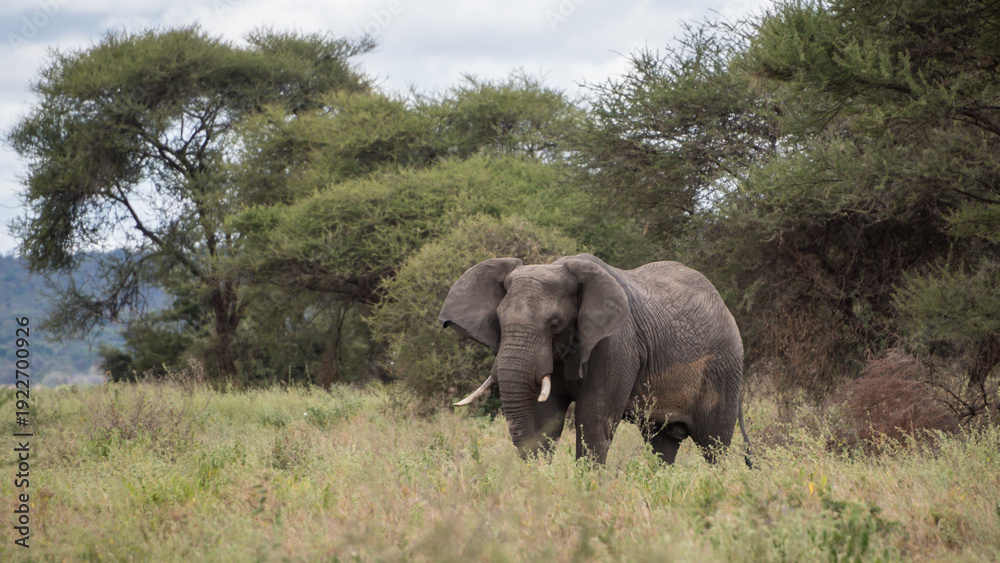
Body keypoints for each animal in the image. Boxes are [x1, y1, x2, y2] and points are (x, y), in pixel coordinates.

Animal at [439, 253, 751, 466]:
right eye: (500, 322)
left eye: (554, 324)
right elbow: (543, 418)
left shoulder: (615, 344)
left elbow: (592, 419)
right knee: (662, 443)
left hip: (724, 367)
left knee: (715, 444)